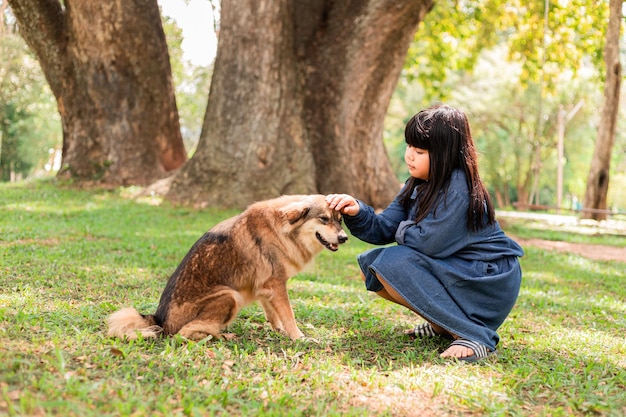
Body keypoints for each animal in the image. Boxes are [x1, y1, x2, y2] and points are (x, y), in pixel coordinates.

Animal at [106, 193, 346, 340]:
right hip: (230, 295)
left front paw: (279, 330)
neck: (283, 229)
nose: (344, 238)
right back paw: (223, 336)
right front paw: (299, 337)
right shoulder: (277, 284)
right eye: (324, 219)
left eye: (340, 219)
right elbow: (289, 314)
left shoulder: (265, 286)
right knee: (187, 333)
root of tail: (159, 319)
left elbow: (273, 313)